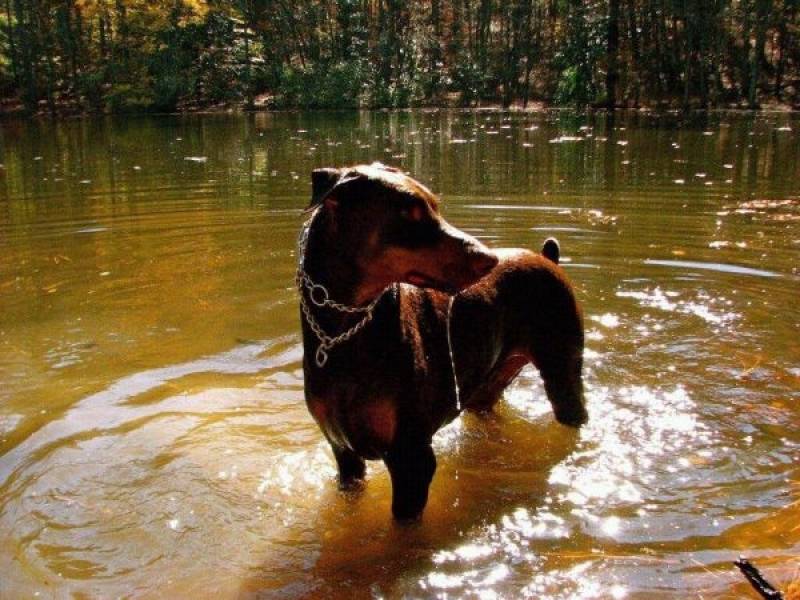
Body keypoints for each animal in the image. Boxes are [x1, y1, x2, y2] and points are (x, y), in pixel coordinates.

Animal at [296, 163, 584, 520]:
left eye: (436, 206)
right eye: (410, 214)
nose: (489, 258)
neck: (343, 332)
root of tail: (548, 259)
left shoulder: (412, 455)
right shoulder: (344, 453)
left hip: (563, 369)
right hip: (486, 386)